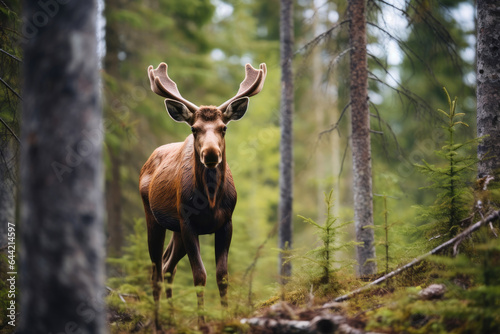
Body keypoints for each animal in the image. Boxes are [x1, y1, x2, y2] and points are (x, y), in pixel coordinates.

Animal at [139, 60, 268, 326]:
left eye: (224, 127)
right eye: (195, 129)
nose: (210, 154)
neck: (210, 200)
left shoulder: (226, 222)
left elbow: (222, 275)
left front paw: (226, 318)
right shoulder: (189, 224)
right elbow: (199, 275)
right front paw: (202, 323)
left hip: (176, 230)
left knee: (167, 266)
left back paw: (172, 319)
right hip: (154, 218)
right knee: (156, 270)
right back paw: (158, 323)